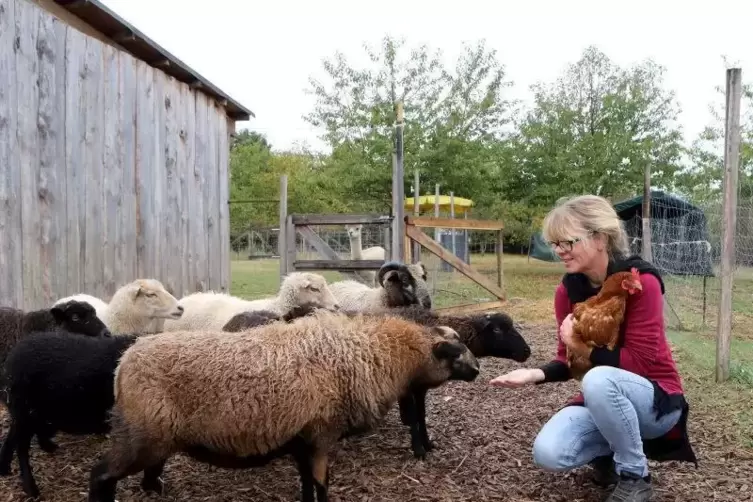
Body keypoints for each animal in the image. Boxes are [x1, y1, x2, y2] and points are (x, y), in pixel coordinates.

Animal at [0, 330, 141, 498]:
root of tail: (11, 357)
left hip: (32, 411)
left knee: (15, 434)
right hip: (25, 409)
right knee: (21, 447)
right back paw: (31, 488)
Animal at [86, 310, 476, 502]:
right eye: (455, 353)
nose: (477, 370)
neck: (369, 355)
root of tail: (124, 363)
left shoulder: (302, 439)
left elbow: (307, 484)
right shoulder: (321, 434)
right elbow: (321, 485)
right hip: (140, 437)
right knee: (100, 476)